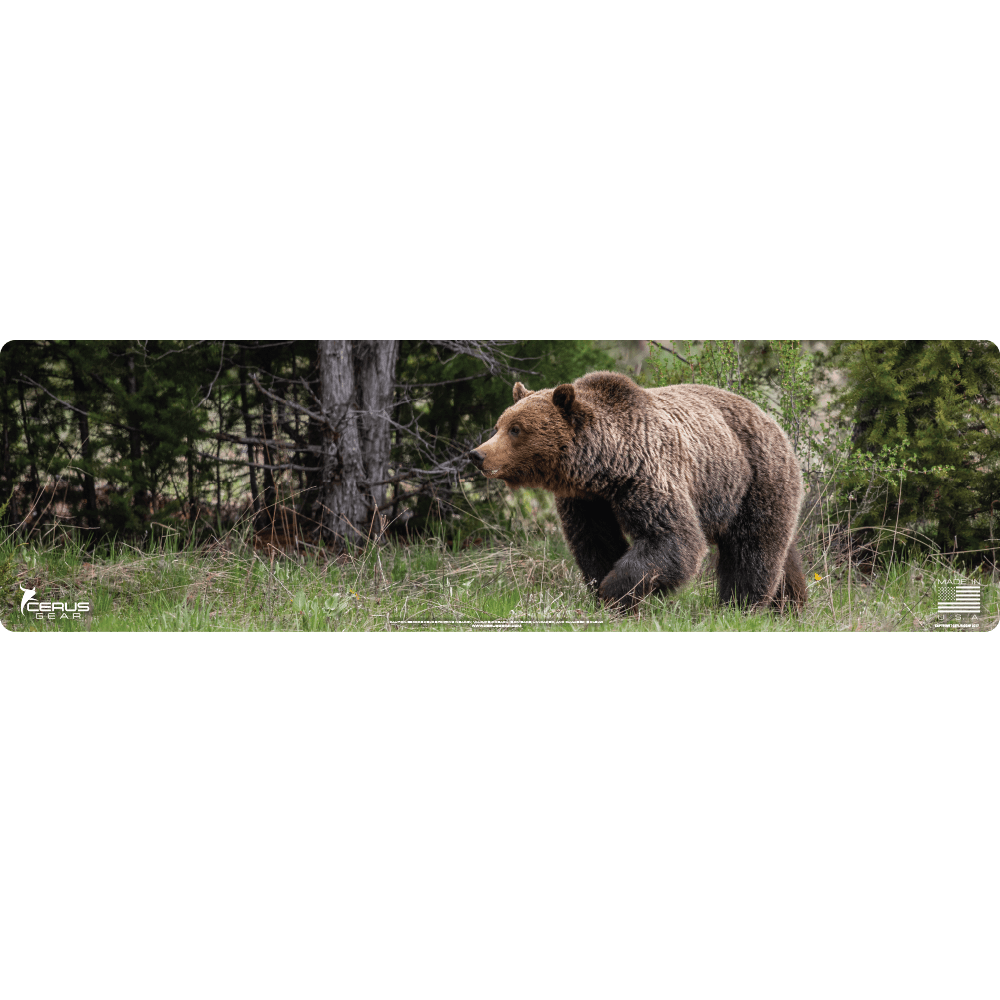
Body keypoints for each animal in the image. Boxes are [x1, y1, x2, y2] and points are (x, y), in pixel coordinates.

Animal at [469, 371, 807, 613]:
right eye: (499, 425)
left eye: (516, 429)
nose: (478, 454)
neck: (604, 467)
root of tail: (770, 418)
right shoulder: (586, 501)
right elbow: (594, 541)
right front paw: (603, 591)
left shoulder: (647, 476)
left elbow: (671, 538)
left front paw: (615, 591)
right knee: (783, 552)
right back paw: (790, 605)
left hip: (752, 479)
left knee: (752, 548)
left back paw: (741, 604)